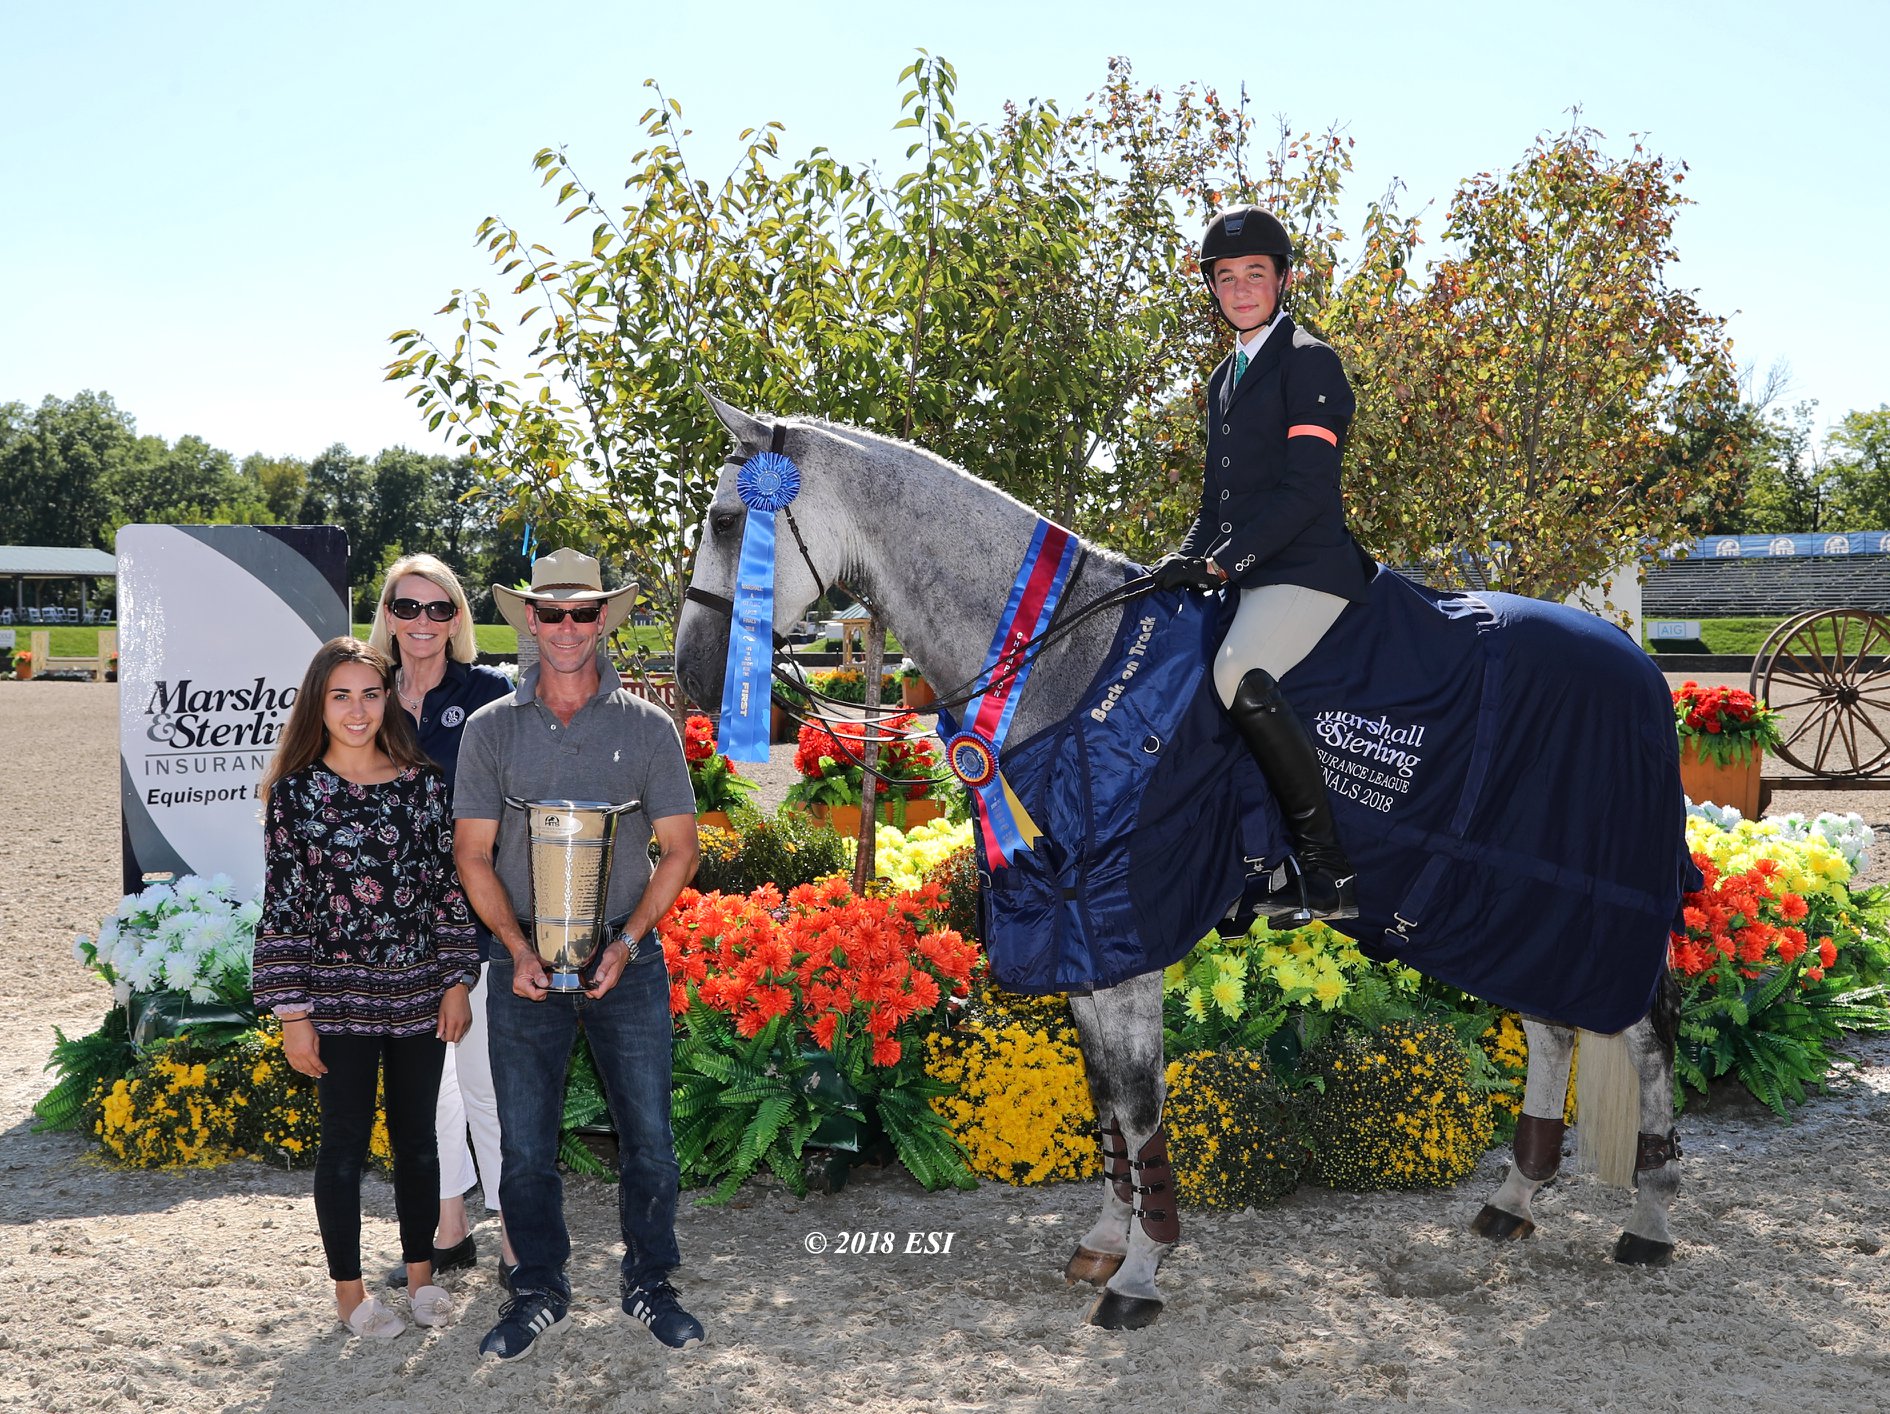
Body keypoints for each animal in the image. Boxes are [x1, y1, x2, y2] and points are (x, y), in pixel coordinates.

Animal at [676, 395, 1685, 1323]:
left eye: (728, 521)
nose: (691, 676)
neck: (1072, 662)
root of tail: (1633, 658)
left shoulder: (1128, 930)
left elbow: (1138, 1103)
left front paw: (1140, 1271)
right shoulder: (1080, 928)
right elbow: (1103, 1101)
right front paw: (1106, 1239)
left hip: (1590, 900)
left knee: (1644, 1034)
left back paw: (1651, 1218)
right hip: (1500, 903)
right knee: (1554, 1027)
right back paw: (1516, 1198)